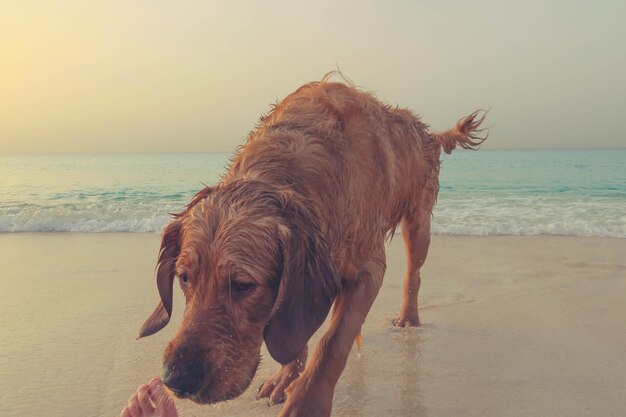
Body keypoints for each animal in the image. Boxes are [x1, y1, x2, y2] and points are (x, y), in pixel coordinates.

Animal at [138, 75, 488, 416]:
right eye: (184, 278)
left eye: (242, 285)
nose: (176, 379)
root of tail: (426, 131)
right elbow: (296, 323)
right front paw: (286, 376)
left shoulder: (369, 270)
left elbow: (332, 343)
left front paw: (306, 402)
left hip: (418, 223)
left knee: (412, 273)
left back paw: (408, 317)